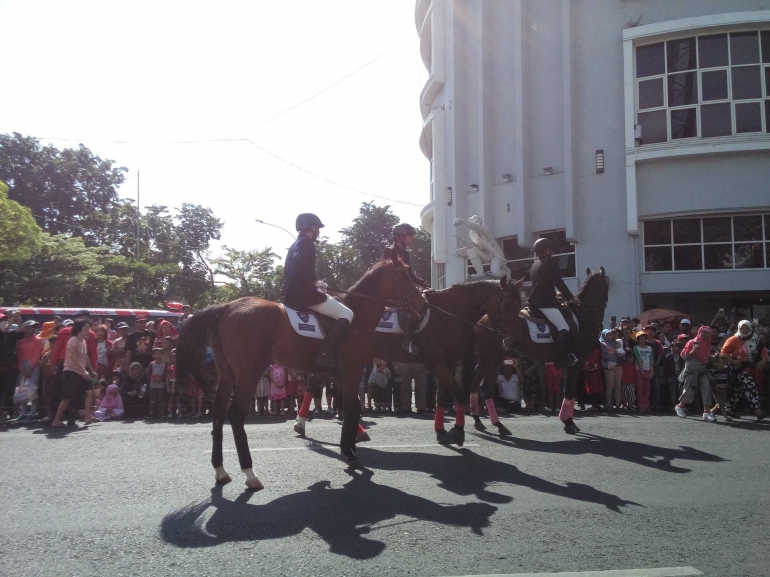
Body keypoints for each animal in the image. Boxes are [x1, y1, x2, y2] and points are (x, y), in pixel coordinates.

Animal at [175, 255, 424, 486]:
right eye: (403, 274)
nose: (421, 302)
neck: (357, 314)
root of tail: (226, 306)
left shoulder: (338, 374)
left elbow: (352, 408)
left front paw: (349, 447)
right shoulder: (352, 372)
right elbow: (351, 409)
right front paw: (350, 452)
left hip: (227, 374)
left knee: (218, 412)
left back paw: (220, 470)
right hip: (249, 373)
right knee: (236, 415)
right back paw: (250, 473)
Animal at [370, 276, 520, 444]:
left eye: (520, 305)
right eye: (506, 305)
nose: (514, 341)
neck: (449, 314)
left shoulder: (447, 363)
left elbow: (441, 396)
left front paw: (441, 431)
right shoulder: (437, 364)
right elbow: (459, 393)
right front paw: (458, 430)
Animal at [472, 268, 608, 434]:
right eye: (605, 283)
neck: (584, 317)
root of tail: (480, 321)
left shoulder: (571, 364)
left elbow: (569, 391)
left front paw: (567, 420)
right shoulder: (577, 362)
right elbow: (570, 392)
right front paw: (568, 422)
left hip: (484, 358)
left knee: (474, 384)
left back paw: (478, 421)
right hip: (495, 358)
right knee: (487, 387)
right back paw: (499, 425)